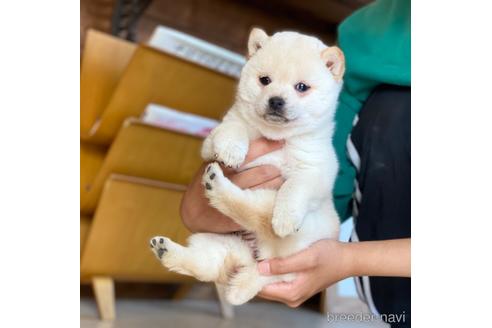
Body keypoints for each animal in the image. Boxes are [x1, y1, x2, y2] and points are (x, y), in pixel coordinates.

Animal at [148, 28, 344, 304]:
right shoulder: (215, 139)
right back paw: (168, 249)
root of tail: (259, 262)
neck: (275, 137)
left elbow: (295, 188)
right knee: (204, 265)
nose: (276, 100)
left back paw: (220, 190)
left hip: (282, 217)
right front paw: (232, 149)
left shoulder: (316, 171)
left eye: (302, 87)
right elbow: (234, 128)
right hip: (218, 243)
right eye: (265, 80)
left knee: (256, 214)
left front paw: (286, 217)